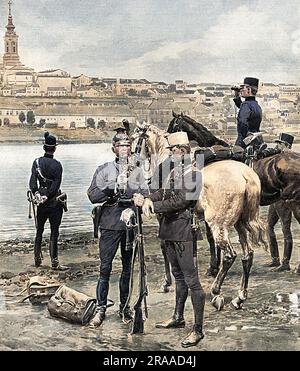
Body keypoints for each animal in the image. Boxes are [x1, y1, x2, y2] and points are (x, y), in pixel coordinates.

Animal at [131, 122, 268, 310]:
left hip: (219, 225)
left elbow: (164, 246)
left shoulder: (163, 217)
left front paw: (167, 282)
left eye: (134, 139)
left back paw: (216, 292)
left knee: (229, 256)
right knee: (247, 255)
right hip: (239, 223)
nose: (131, 161)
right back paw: (240, 297)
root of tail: (246, 176)